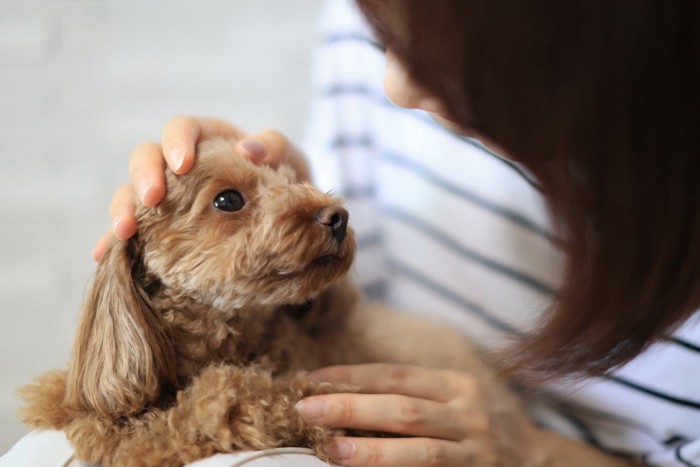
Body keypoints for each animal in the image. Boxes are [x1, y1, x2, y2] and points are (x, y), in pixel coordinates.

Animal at [20, 139, 524, 467]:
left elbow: (222, 402)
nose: (338, 216)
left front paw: (122, 437)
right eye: (228, 199)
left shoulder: (303, 393)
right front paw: (65, 408)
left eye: (290, 180)